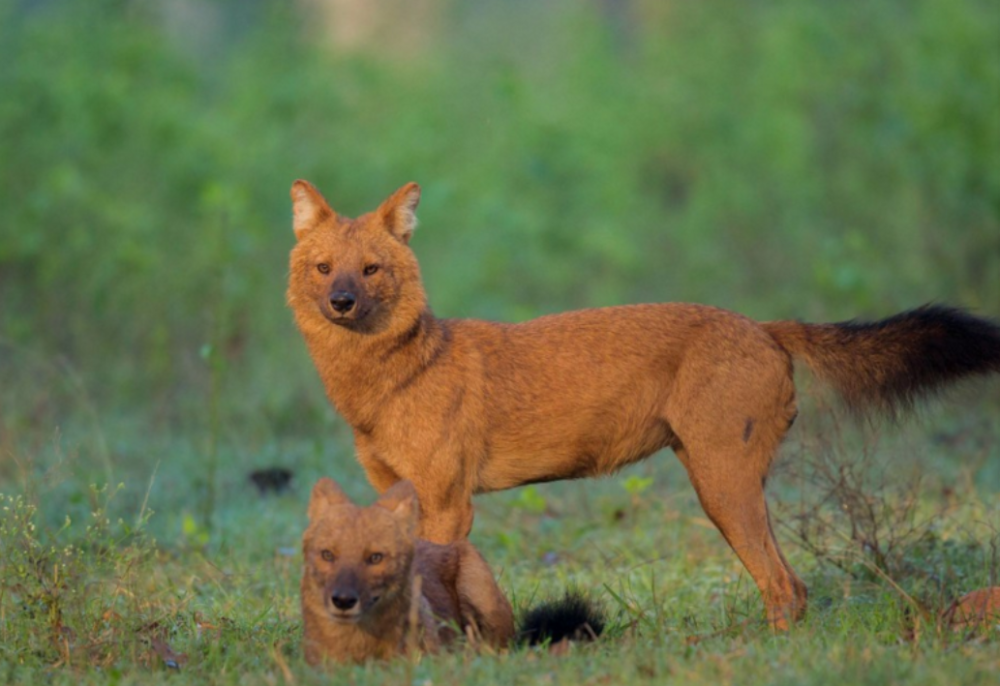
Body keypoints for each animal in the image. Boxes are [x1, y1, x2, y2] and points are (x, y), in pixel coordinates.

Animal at [288, 181, 1000, 628]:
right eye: (324, 268)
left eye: (372, 269)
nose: (342, 301)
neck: (386, 379)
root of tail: (764, 326)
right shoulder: (393, 495)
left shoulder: (447, 502)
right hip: (727, 484)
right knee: (791, 586)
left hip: (721, 485)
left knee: (785, 586)